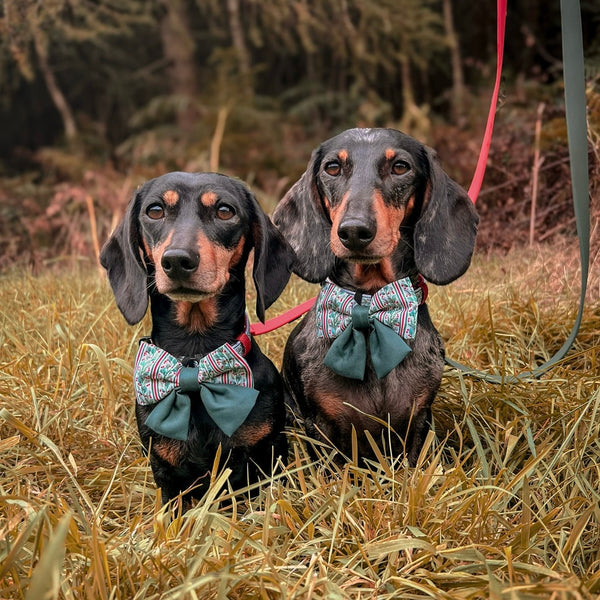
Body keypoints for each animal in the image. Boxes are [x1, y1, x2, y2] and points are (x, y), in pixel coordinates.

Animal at [101, 171, 296, 504]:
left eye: (225, 211)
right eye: (155, 210)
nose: (178, 260)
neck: (195, 363)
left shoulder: (264, 458)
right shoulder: (167, 474)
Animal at [274, 127, 478, 464]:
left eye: (400, 167)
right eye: (332, 167)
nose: (354, 231)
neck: (369, 307)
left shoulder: (417, 422)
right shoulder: (321, 429)